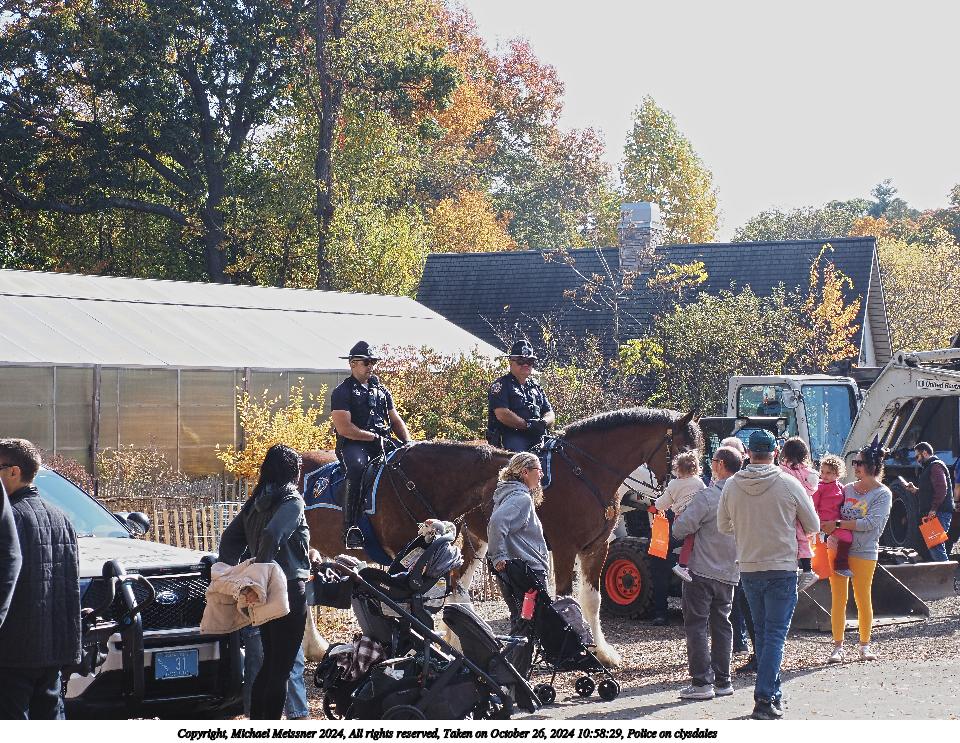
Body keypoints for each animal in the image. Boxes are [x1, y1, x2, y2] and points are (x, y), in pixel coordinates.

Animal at [302, 408, 701, 667]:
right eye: (683, 449)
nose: (693, 484)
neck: (585, 473)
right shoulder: (564, 548)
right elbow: (566, 599)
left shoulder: (596, 548)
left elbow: (592, 600)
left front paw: (602, 652)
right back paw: (316, 647)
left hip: (470, 542)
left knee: (456, 590)